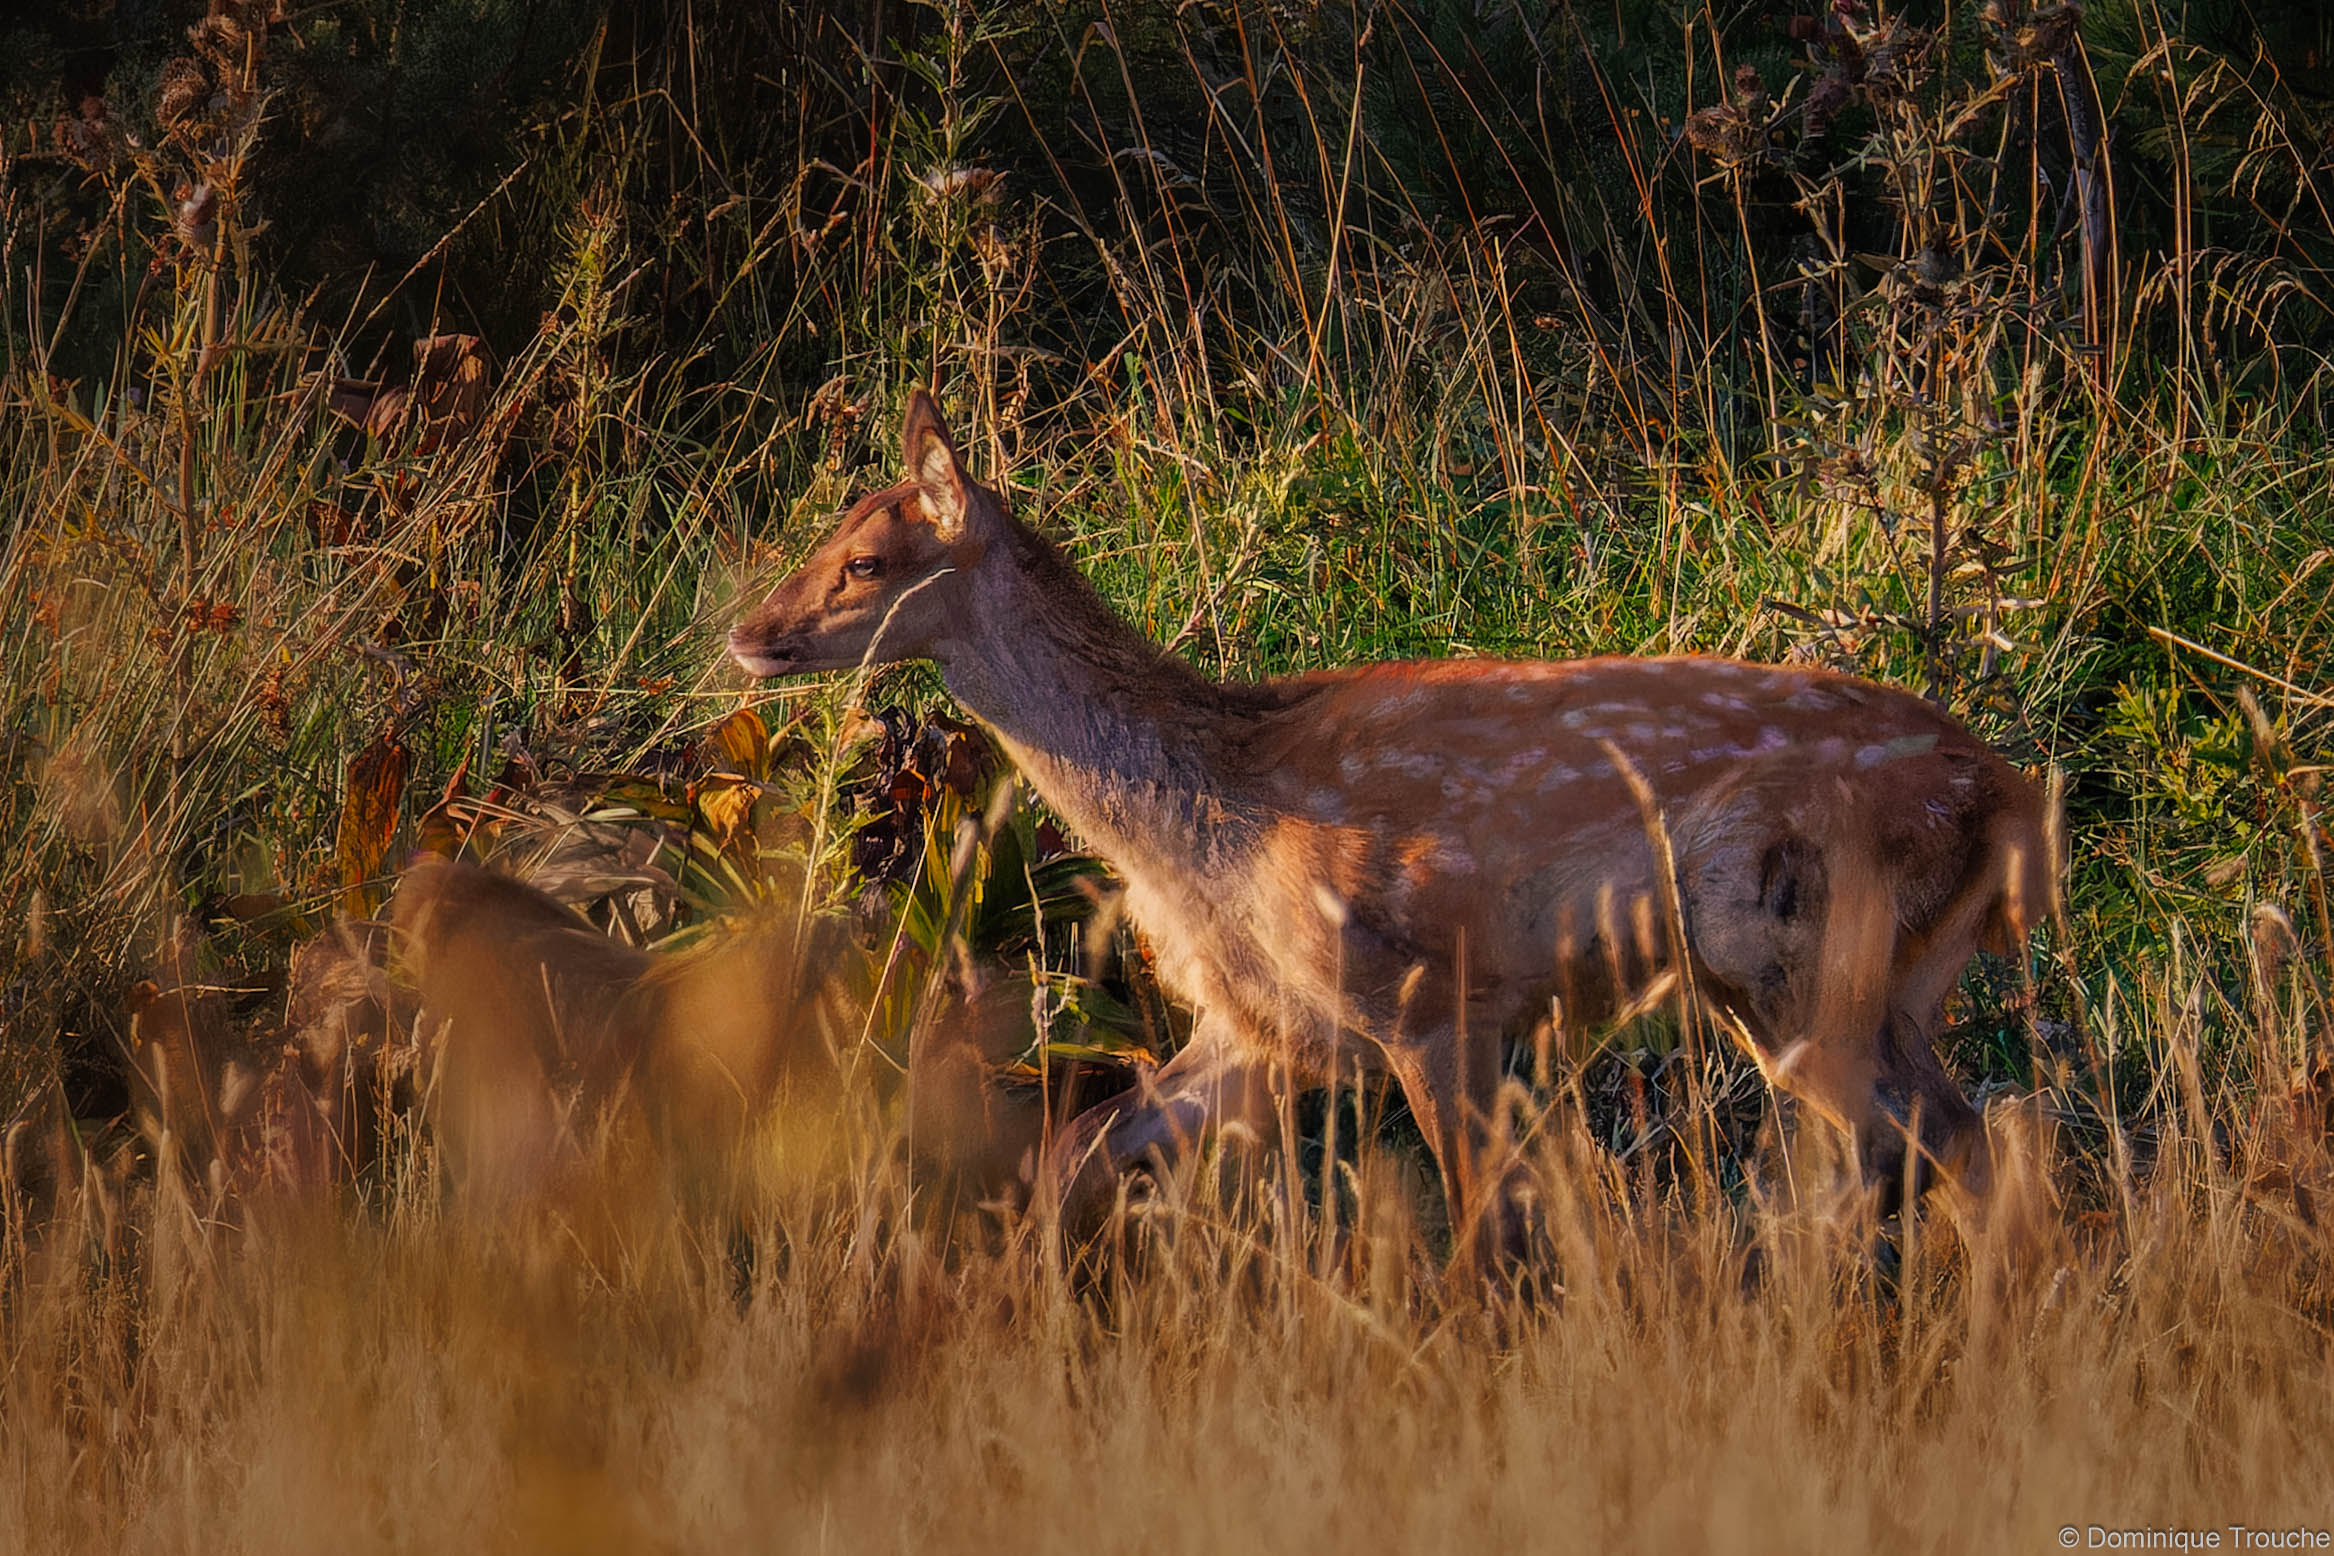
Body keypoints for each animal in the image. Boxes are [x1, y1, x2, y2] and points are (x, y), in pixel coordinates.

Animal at [728, 390, 2057, 1266]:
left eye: (865, 561)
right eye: (824, 536)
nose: (747, 632)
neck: (1215, 822)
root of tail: (2011, 799)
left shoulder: (1430, 993)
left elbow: (1486, 1229)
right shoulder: (1261, 1023)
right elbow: (1070, 1157)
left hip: (1798, 954)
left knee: (1952, 1150)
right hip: (1847, 983)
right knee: (1974, 1148)